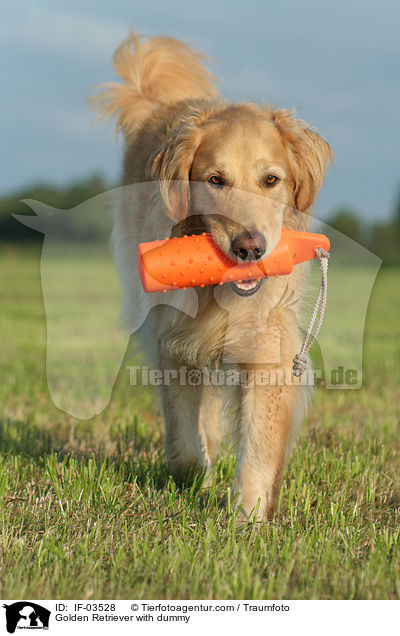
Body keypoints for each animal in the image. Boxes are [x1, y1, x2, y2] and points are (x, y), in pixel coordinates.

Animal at [92, 32, 332, 520]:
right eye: (215, 180)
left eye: (271, 180)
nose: (250, 248)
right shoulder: (171, 339)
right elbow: (183, 439)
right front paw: (194, 476)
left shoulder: (268, 348)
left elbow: (258, 445)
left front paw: (248, 515)